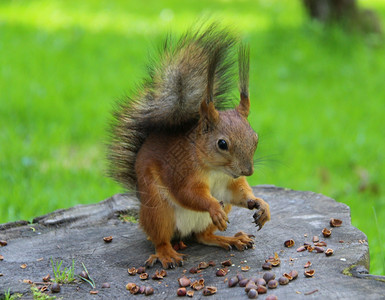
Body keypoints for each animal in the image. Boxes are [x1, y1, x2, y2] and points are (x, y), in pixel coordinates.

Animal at [107, 22, 270, 268]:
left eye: (256, 138)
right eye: (222, 143)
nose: (248, 171)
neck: (215, 170)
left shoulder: (229, 184)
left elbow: (239, 192)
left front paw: (260, 203)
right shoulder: (181, 170)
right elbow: (188, 194)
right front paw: (213, 207)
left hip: (206, 219)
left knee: (203, 236)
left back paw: (230, 239)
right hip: (158, 209)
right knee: (160, 238)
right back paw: (167, 254)